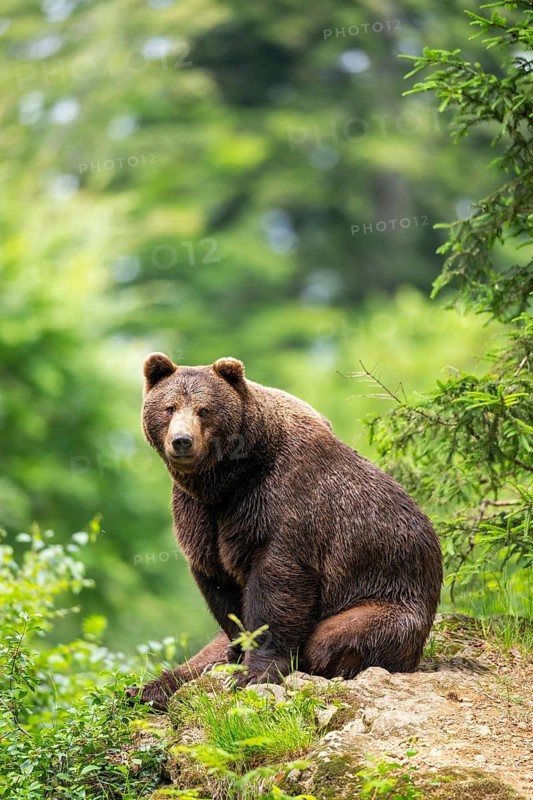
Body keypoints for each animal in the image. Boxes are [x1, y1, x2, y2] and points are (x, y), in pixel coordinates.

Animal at [128, 353, 442, 710]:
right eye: (169, 407)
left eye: (204, 409)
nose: (182, 441)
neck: (229, 478)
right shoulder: (200, 514)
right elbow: (220, 586)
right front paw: (236, 656)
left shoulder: (283, 501)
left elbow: (278, 584)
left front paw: (255, 672)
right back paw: (147, 688)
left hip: (389, 594)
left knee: (336, 637)